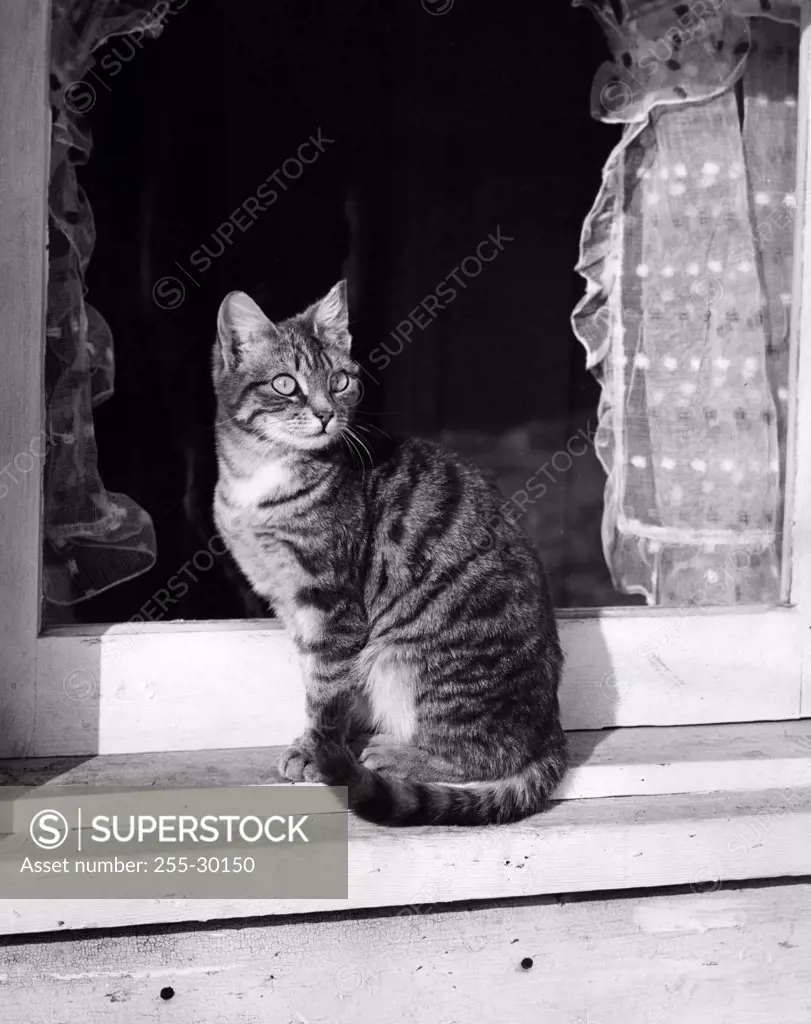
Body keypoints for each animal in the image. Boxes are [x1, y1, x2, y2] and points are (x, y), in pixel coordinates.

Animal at [211, 280, 565, 823]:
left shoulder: (330, 601)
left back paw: (397, 752)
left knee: (485, 754)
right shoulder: (291, 601)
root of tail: (551, 731)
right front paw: (323, 738)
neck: (259, 475)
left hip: (407, 655)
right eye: (285, 384)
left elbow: (325, 688)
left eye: (339, 381)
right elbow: (322, 680)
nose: (325, 414)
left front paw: (317, 750)